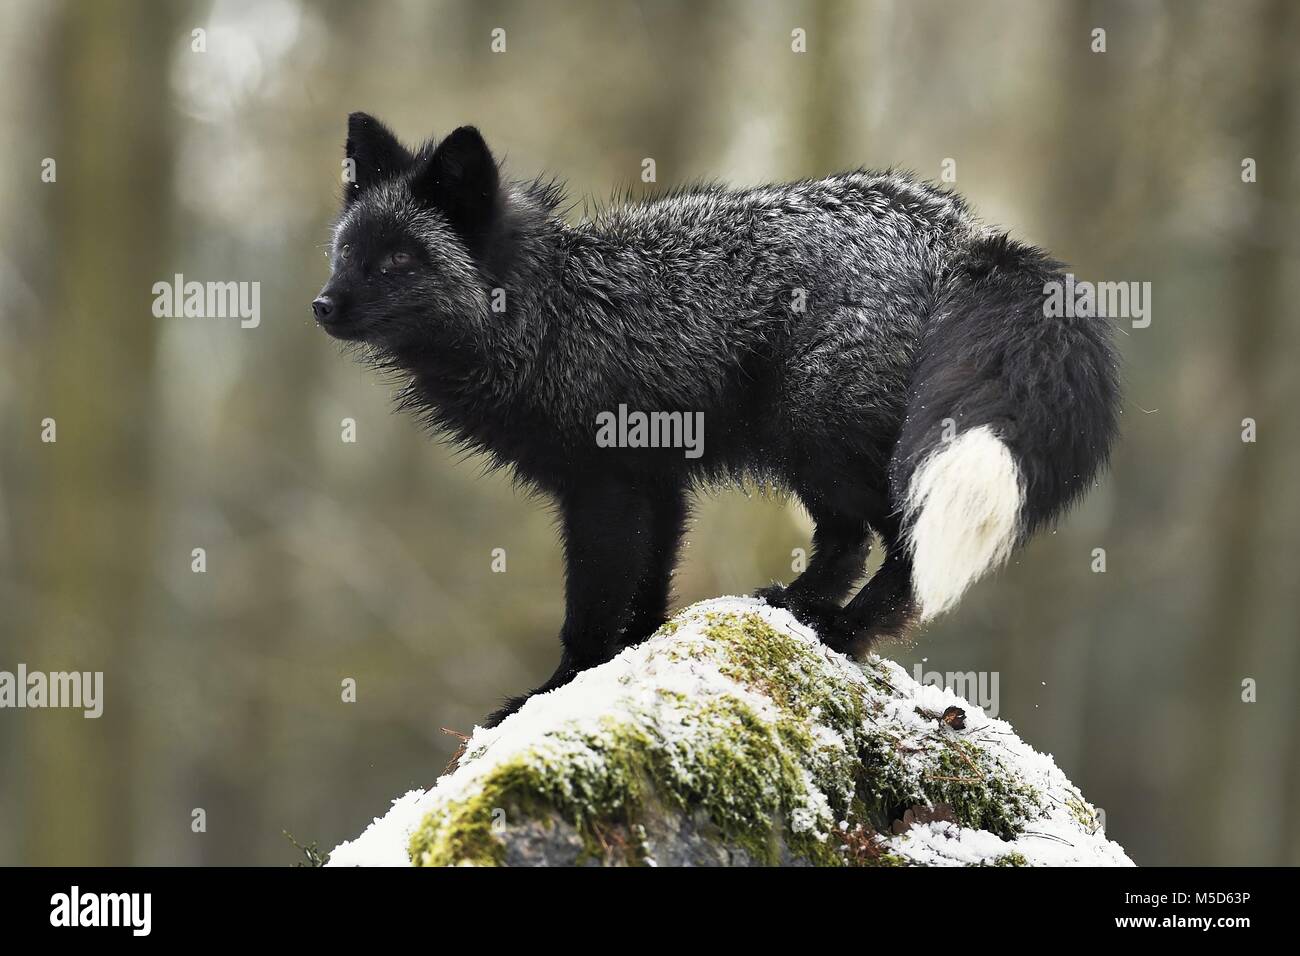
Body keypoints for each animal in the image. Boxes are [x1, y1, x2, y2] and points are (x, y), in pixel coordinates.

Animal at [314, 113, 1118, 723]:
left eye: (399, 262)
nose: (321, 307)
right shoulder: (656, 483)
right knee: (847, 543)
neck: (545, 313)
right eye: (346, 252)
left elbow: (588, 611)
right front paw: (634, 659)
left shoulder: (602, 489)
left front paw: (553, 695)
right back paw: (796, 609)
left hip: (823, 440)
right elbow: (644, 594)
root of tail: (963, 233)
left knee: (895, 551)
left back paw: (844, 630)